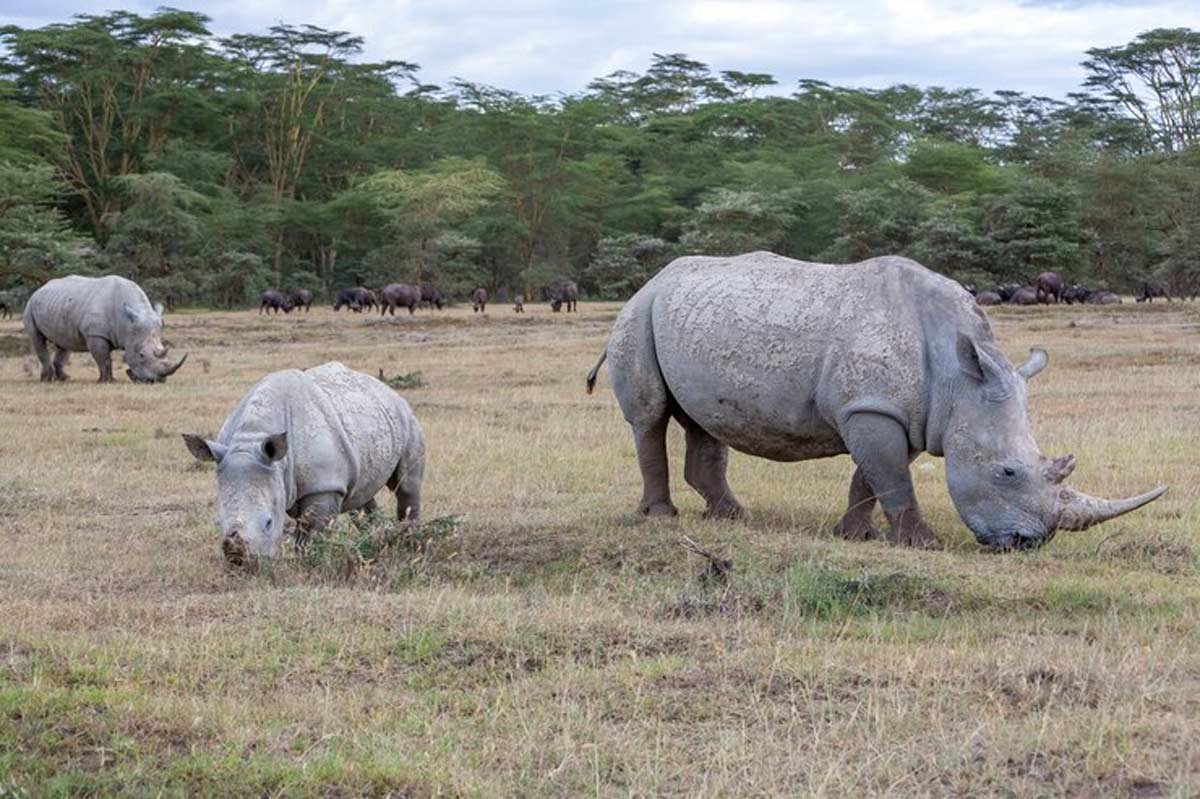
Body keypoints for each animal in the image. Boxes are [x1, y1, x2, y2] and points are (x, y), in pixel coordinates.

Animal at [24, 275, 187, 383]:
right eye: (141, 355)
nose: (158, 380)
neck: (127, 324)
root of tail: (41, 288)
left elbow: (104, 358)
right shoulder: (96, 334)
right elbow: (104, 358)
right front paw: (107, 381)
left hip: (60, 304)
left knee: (64, 342)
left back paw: (64, 379)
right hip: (30, 304)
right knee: (37, 338)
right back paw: (46, 380)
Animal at [183, 361, 425, 567]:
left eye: (269, 523)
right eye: (218, 521)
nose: (240, 563)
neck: (251, 438)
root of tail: (386, 388)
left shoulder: (324, 485)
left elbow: (311, 532)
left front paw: (310, 562)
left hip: (407, 417)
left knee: (407, 486)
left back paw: (409, 542)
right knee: (361, 496)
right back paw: (377, 539)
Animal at [585, 252, 1165, 551]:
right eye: (1006, 473)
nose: (1030, 542)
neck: (958, 378)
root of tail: (653, 280)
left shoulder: (901, 412)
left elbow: (873, 476)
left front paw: (854, 536)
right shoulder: (873, 407)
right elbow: (892, 479)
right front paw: (923, 544)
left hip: (685, 317)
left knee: (704, 423)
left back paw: (732, 519)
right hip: (637, 315)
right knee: (650, 417)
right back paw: (661, 518)